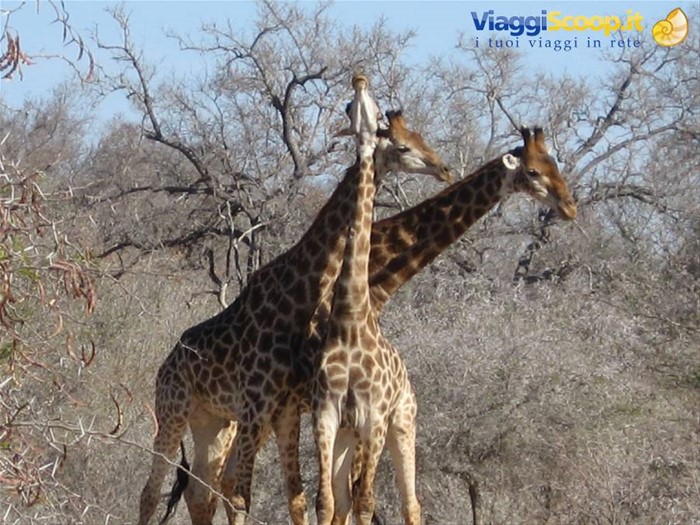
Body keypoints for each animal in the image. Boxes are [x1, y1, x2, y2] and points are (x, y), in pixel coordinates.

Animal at [137, 84, 452, 525]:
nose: (444, 168)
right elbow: (251, 495)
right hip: (174, 410)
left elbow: (301, 496)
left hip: (213, 422)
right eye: (404, 146)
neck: (299, 294)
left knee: (201, 492)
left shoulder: (285, 409)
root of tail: (165, 363)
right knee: (153, 491)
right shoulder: (262, 404)